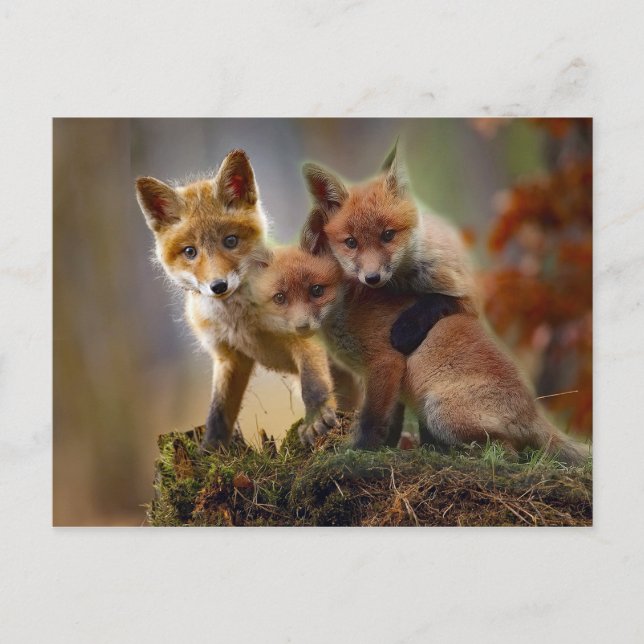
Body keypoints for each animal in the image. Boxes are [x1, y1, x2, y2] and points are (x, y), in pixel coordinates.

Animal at [135, 149, 337, 449]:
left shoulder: (303, 331)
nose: (218, 286)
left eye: (230, 241)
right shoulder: (228, 356)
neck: (241, 321)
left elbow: (313, 385)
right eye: (190, 251)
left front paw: (317, 419)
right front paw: (211, 448)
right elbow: (218, 411)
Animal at [252, 245, 589, 465]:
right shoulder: (394, 383)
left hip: (440, 412)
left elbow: (373, 419)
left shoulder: (385, 362)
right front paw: (384, 449)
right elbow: (390, 423)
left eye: (317, 290)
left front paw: (358, 452)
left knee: (509, 454)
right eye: (281, 298)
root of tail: (533, 410)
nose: (300, 326)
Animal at [301, 143, 479, 356]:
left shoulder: (469, 296)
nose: (372, 278)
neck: (404, 283)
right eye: (351, 242)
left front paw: (407, 328)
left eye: (387, 235)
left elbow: (437, 299)